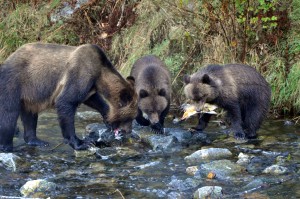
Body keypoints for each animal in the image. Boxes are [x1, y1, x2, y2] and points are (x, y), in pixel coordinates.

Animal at [0, 42, 138, 152]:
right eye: (129, 118)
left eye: (133, 118)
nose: (127, 131)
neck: (100, 74)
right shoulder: (80, 73)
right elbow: (66, 102)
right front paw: (82, 143)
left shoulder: (90, 86)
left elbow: (93, 99)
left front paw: (108, 120)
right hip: (16, 81)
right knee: (9, 113)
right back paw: (7, 147)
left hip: (30, 94)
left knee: (30, 115)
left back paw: (37, 141)